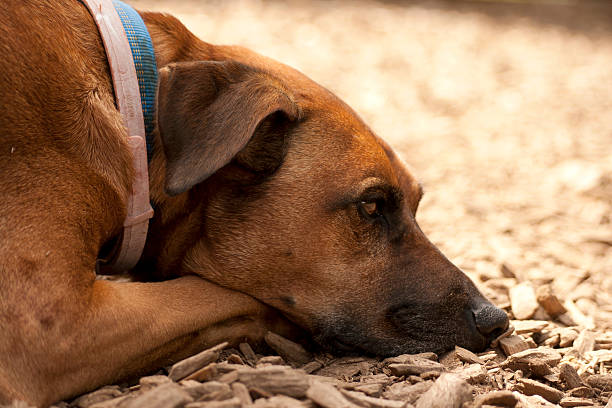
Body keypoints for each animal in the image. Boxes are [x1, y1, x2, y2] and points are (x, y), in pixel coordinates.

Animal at [0, 0, 510, 404]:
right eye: (371, 206)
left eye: (418, 204)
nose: (497, 319)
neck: (137, 116)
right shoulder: (53, 323)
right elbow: (223, 295)